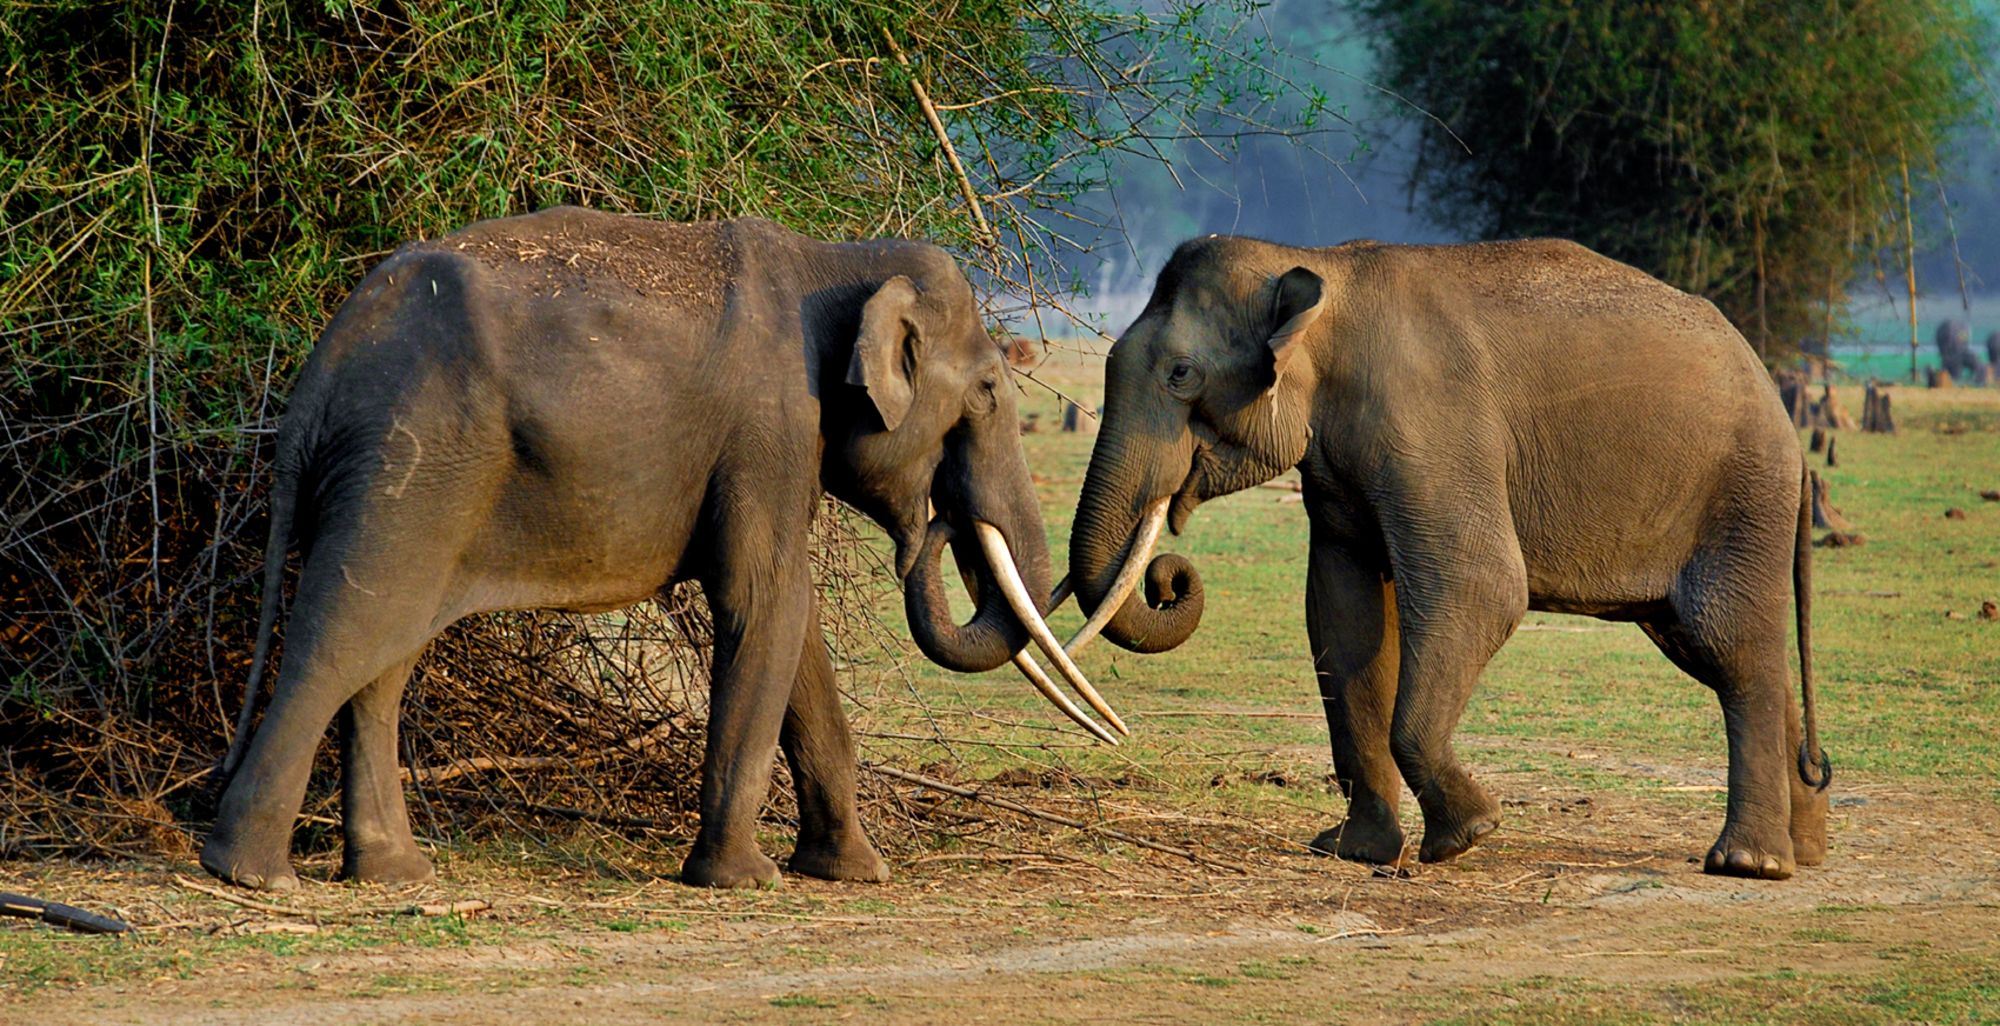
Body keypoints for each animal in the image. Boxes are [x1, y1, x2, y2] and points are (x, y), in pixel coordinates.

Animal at [202, 207, 1121, 892]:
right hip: (412, 460)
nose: (940, 523)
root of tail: (323, 367)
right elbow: (764, 602)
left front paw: (855, 873)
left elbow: (796, 625)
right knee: (348, 631)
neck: (835, 259)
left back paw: (394, 874)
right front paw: (744, 881)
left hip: (405, 474)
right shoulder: (769, 426)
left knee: (386, 653)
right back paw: (252, 875)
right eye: (989, 391)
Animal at [1064, 234, 1830, 880]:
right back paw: (1807, 849)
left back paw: (1749, 863)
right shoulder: (1338, 464)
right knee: (1712, 649)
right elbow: (1343, 617)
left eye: (1181, 373)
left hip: (1740, 496)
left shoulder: (1431, 426)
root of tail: (1782, 414)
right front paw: (1354, 851)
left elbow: (1481, 588)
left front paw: (1467, 836)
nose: (1167, 577)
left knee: (1730, 647)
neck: (1321, 268)